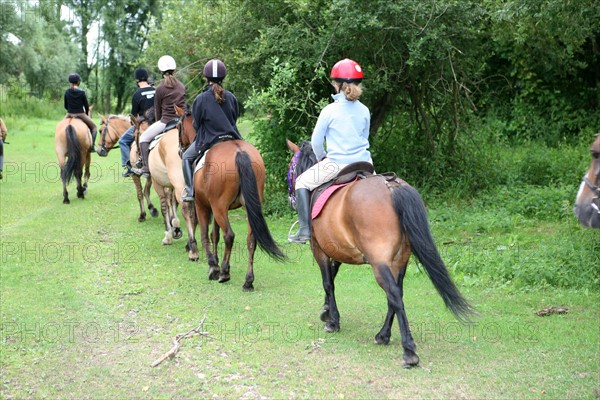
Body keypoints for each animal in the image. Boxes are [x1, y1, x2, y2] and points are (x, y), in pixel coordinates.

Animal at [131, 107, 199, 262]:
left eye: (135, 135)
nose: (137, 156)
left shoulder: (158, 184)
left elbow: (164, 207)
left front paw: (168, 235)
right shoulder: (172, 185)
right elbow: (171, 203)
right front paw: (176, 228)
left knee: (187, 210)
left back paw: (192, 250)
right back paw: (190, 244)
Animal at [178, 104, 286, 290]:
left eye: (178, 127)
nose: (180, 150)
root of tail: (239, 152)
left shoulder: (203, 205)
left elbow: (206, 235)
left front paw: (212, 266)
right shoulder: (213, 207)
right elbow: (214, 235)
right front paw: (215, 261)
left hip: (219, 207)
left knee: (229, 235)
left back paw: (223, 272)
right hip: (248, 207)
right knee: (251, 239)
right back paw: (248, 281)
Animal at [288, 141, 476, 368]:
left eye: (290, 167)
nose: (291, 199)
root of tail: (392, 186)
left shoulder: (319, 249)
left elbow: (328, 283)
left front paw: (332, 321)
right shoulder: (339, 251)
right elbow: (332, 277)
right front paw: (326, 311)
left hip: (379, 263)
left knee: (393, 294)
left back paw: (409, 351)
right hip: (400, 261)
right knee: (396, 293)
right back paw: (383, 335)